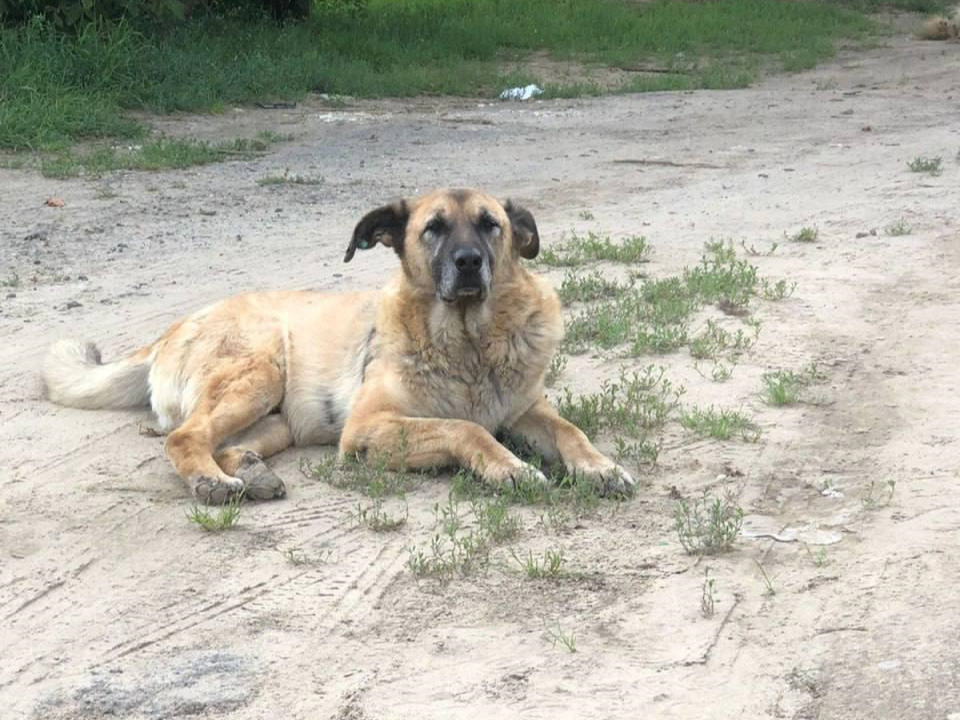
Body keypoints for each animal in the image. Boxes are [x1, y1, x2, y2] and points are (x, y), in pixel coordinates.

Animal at [43, 188, 636, 504]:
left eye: (491, 225)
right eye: (434, 228)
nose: (469, 263)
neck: (468, 343)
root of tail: (173, 328)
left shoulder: (528, 409)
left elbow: (570, 430)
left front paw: (599, 466)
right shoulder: (369, 428)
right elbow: (465, 428)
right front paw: (508, 466)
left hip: (277, 419)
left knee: (218, 441)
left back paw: (250, 471)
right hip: (259, 373)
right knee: (184, 438)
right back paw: (213, 482)